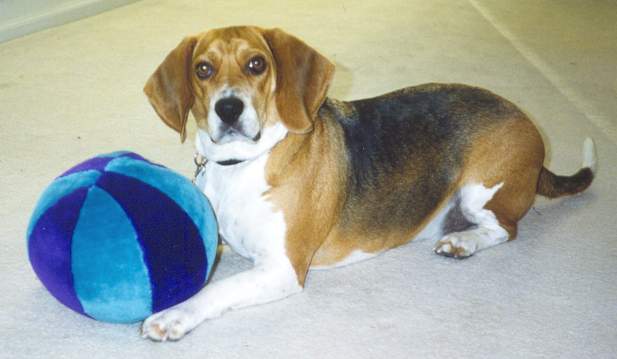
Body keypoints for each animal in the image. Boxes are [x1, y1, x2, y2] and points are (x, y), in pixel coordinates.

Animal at [140, 26, 592, 342]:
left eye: (256, 64)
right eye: (203, 69)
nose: (228, 108)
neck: (240, 164)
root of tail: (527, 122)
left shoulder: (282, 268)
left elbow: (217, 290)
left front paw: (172, 316)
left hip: (480, 191)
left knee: (505, 229)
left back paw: (463, 242)